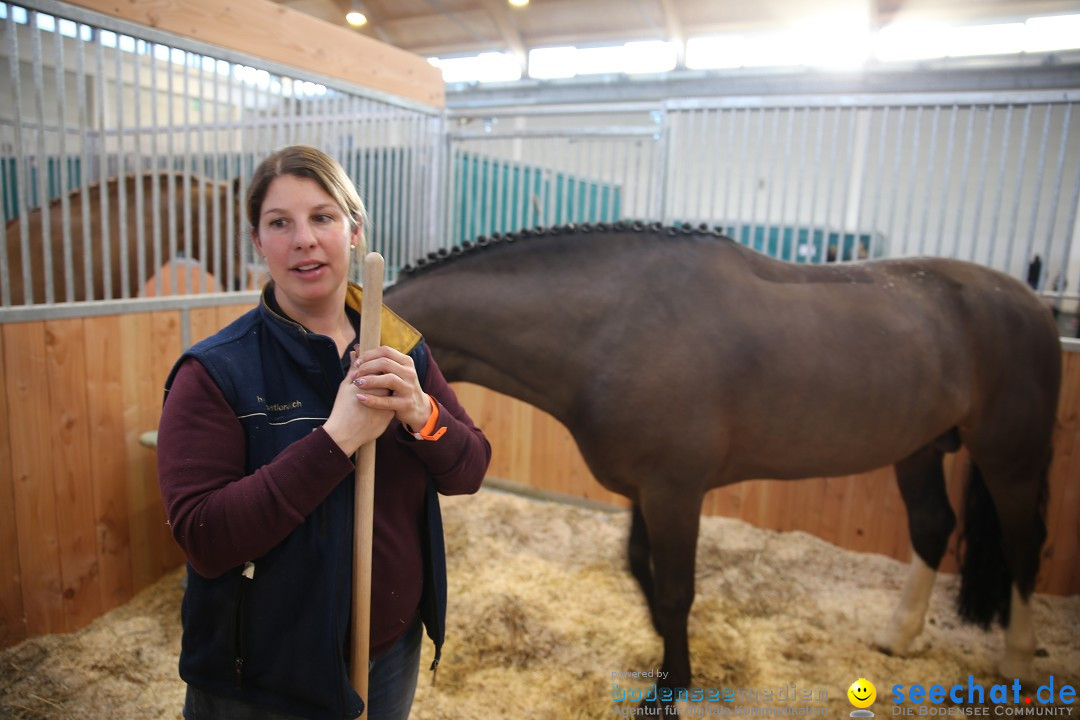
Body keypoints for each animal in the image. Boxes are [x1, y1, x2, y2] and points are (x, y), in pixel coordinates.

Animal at [386, 221, 1062, 703]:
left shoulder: (675, 491)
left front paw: (671, 688)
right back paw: (897, 637)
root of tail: (1033, 303)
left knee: (1023, 544)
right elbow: (641, 566)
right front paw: (665, 656)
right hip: (918, 448)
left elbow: (676, 589)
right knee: (932, 525)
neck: (611, 328)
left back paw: (1018, 662)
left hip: (1010, 455)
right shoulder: (646, 489)